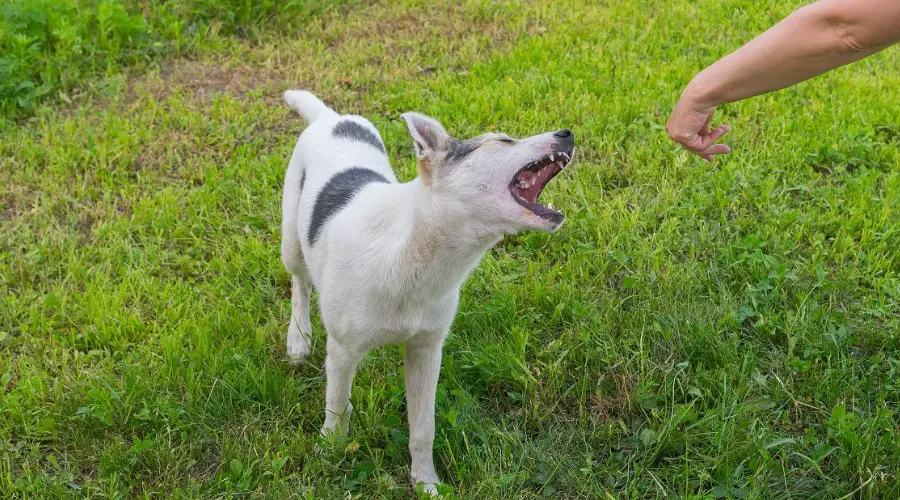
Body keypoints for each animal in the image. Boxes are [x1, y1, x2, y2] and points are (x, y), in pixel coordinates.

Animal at [282, 89, 576, 492]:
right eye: (502, 140)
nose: (568, 133)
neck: (413, 250)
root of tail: (331, 118)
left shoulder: (426, 351)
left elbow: (424, 428)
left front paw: (426, 482)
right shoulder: (341, 351)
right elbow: (338, 406)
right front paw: (331, 452)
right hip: (292, 240)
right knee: (300, 282)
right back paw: (298, 338)